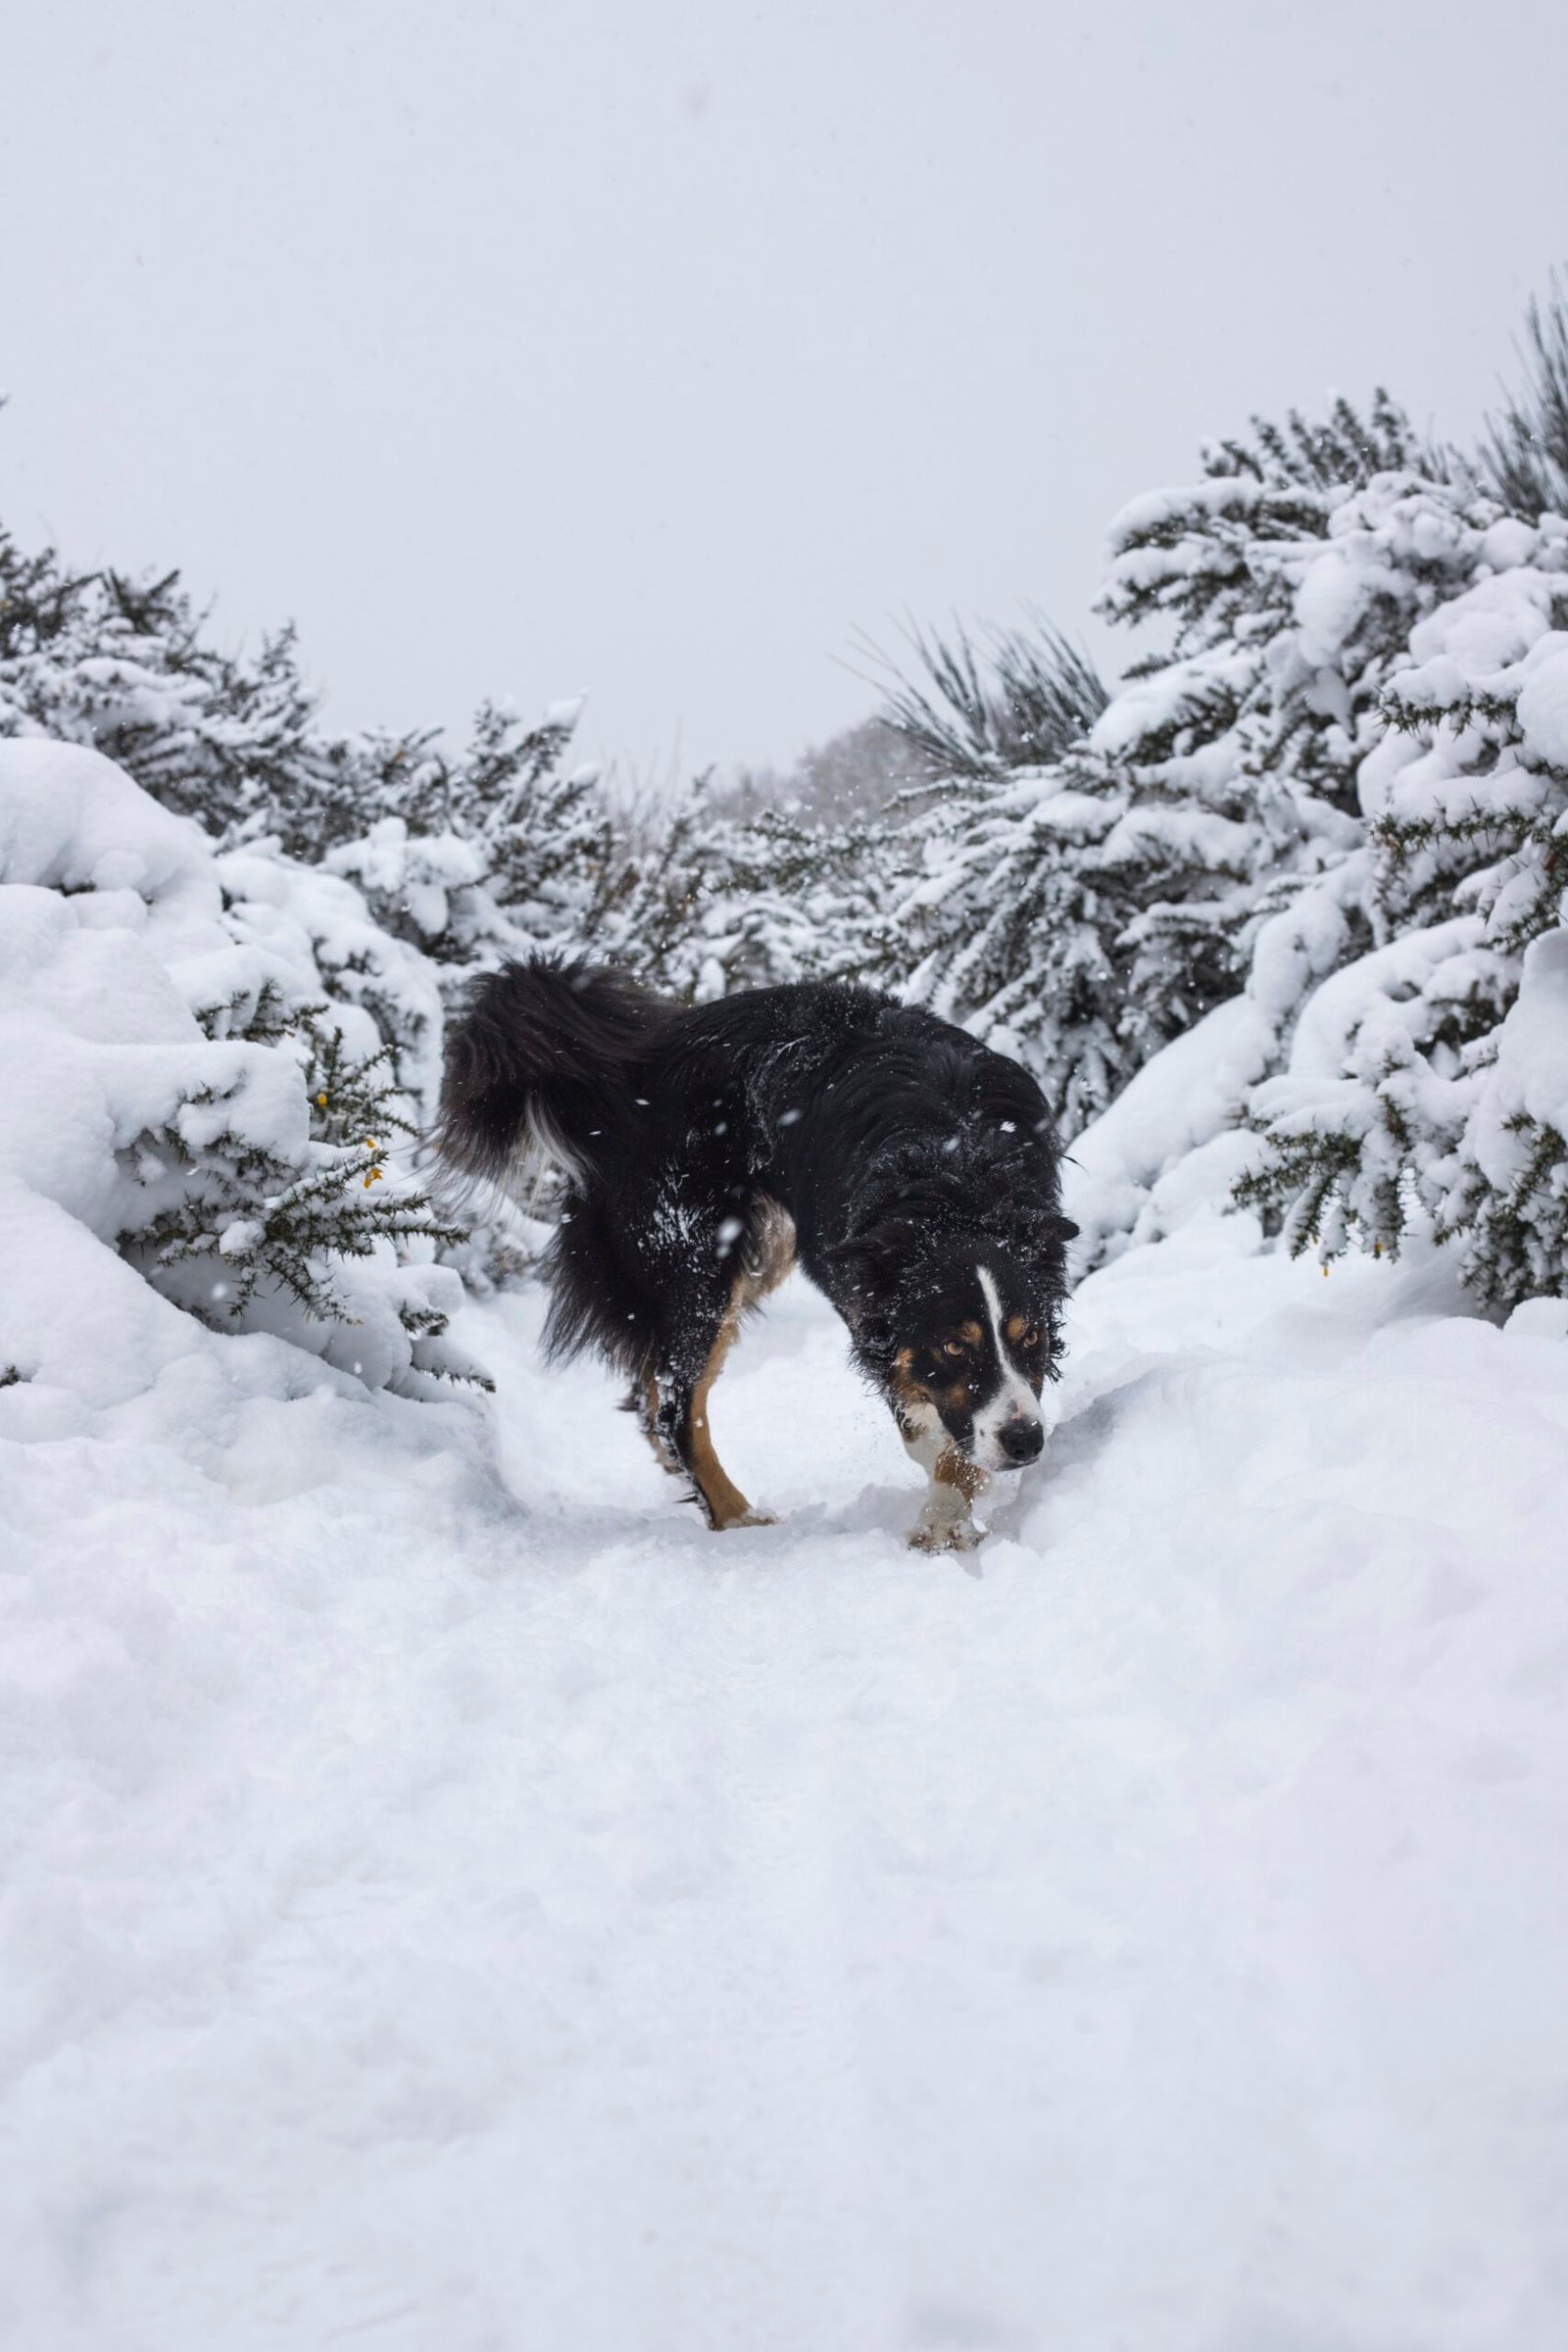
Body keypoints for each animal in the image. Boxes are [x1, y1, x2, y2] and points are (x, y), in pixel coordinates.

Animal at [441, 955, 1081, 1543]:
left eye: (1031, 1337)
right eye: (953, 1346)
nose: (1026, 1441)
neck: (954, 1177)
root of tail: (623, 1070)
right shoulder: (869, 1299)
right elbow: (927, 1416)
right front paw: (945, 1514)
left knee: (652, 1392)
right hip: (692, 1259)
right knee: (677, 1406)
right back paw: (737, 1518)